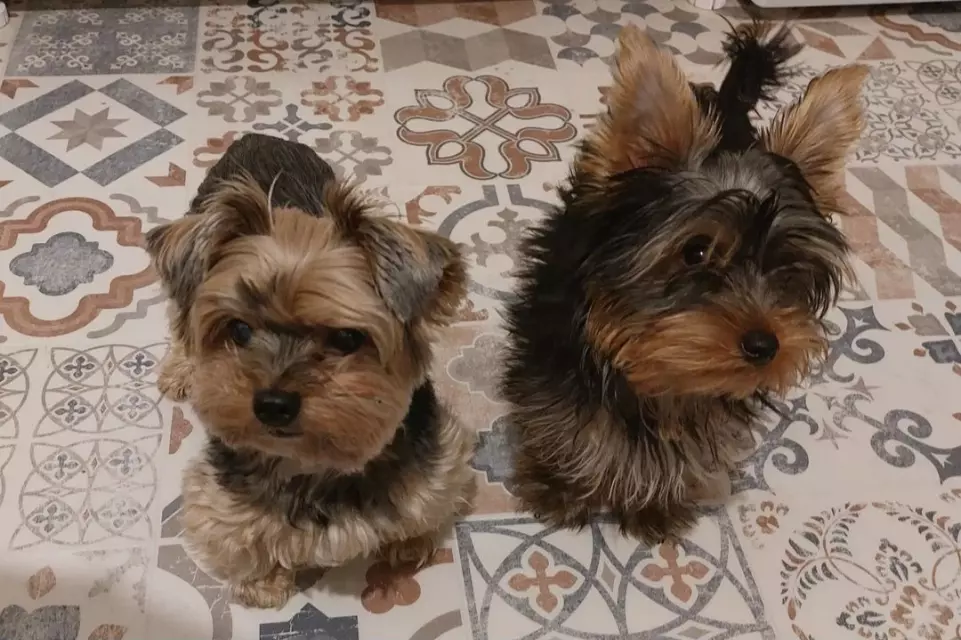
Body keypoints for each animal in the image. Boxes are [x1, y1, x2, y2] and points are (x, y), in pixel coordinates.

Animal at [145, 133, 476, 608]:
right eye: (239, 329)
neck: (314, 467)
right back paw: (179, 368)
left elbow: (424, 505)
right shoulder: (219, 494)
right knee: (180, 309)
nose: (272, 404)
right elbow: (241, 531)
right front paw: (263, 584)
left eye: (347, 339)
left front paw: (409, 545)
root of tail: (256, 137)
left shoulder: (437, 461)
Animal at [500, 22, 869, 542]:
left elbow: (695, 433)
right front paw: (560, 485)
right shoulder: (558, 349)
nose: (765, 346)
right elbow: (561, 413)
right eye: (695, 252)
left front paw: (657, 502)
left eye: (786, 267)